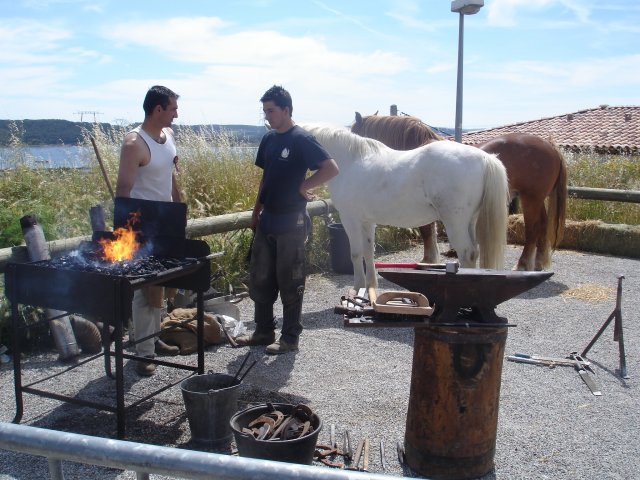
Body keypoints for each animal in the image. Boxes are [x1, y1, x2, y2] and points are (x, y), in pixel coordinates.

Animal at [302, 124, 510, 288]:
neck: (349, 161)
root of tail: (484, 157)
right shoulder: (367, 221)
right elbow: (369, 253)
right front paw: (370, 288)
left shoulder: (350, 219)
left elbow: (356, 253)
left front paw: (357, 289)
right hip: (470, 221)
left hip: (455, 222)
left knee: (467, 254)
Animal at [352, 111, 568, 272]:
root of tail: (552, 147)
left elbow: (426, 231)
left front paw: (428, 259)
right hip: (537, 199)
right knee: (543, 226)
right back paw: (538, 263)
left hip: (531, 198)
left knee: (533, 228)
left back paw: (523, 265)